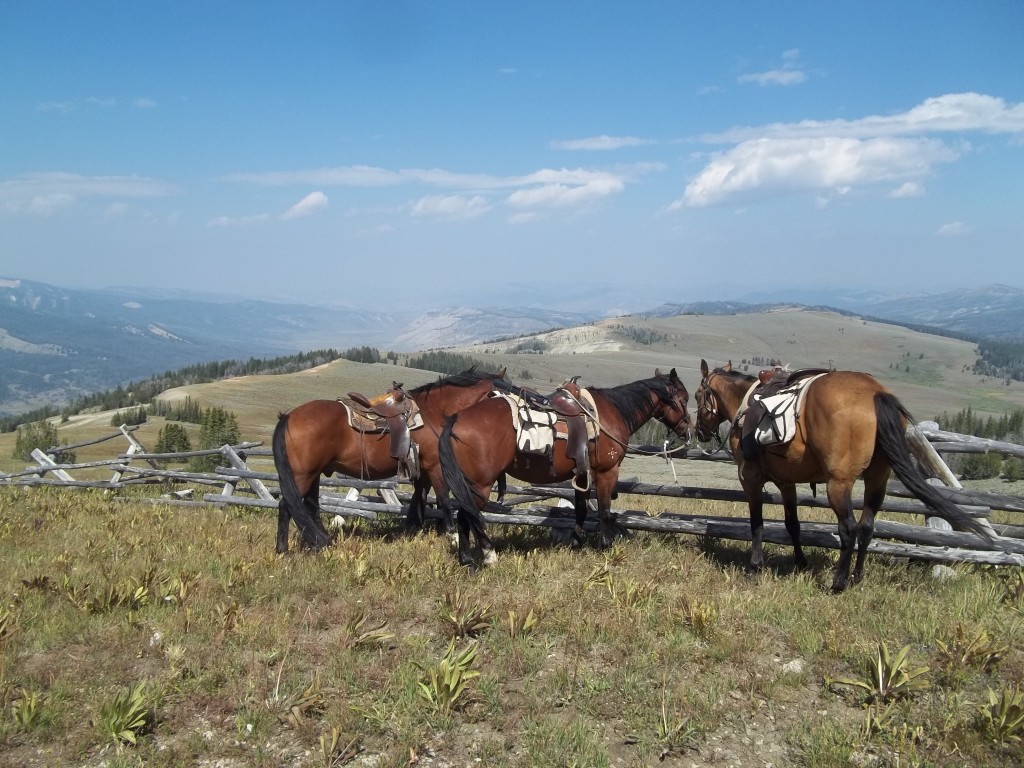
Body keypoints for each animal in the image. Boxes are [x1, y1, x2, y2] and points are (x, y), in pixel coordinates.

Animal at [274, 368, 509, 552]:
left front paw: (415, 531)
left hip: (314, 475)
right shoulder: (435, 467)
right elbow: (443, 501)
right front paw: (452, 538)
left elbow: (418, 501)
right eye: (499, 394)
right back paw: (283, 549)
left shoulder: (421, 471)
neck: (435, 412)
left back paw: (321, 543)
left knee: (311, 507)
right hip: (302, 475)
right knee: (286, 506)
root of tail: (289, 417)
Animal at [436, 370, 692, 569]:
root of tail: (457, 418)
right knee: (466, 516)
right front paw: (606, 545)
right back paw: (483, 557)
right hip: (479, 485)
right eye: (685, 398)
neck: (612, 411)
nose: (689, 430)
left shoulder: (581, 473)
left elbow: (581, 510)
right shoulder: (606, 472)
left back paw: (468, 558)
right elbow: (604, 510)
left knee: (465, 516)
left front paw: (576, 542)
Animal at [692, 358, 995, 593]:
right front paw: (800, 562)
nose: (700, 432)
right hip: (877, 480)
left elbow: (757, 524)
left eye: (697, 396)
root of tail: (875, 394)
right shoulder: (787, 482)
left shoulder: (751, 479)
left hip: (838, 484)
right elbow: (793, 524)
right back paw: (857, 577)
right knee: (867, 526)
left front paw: (755, 568)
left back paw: (838, 582)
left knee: (848, 528)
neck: (745, 404)